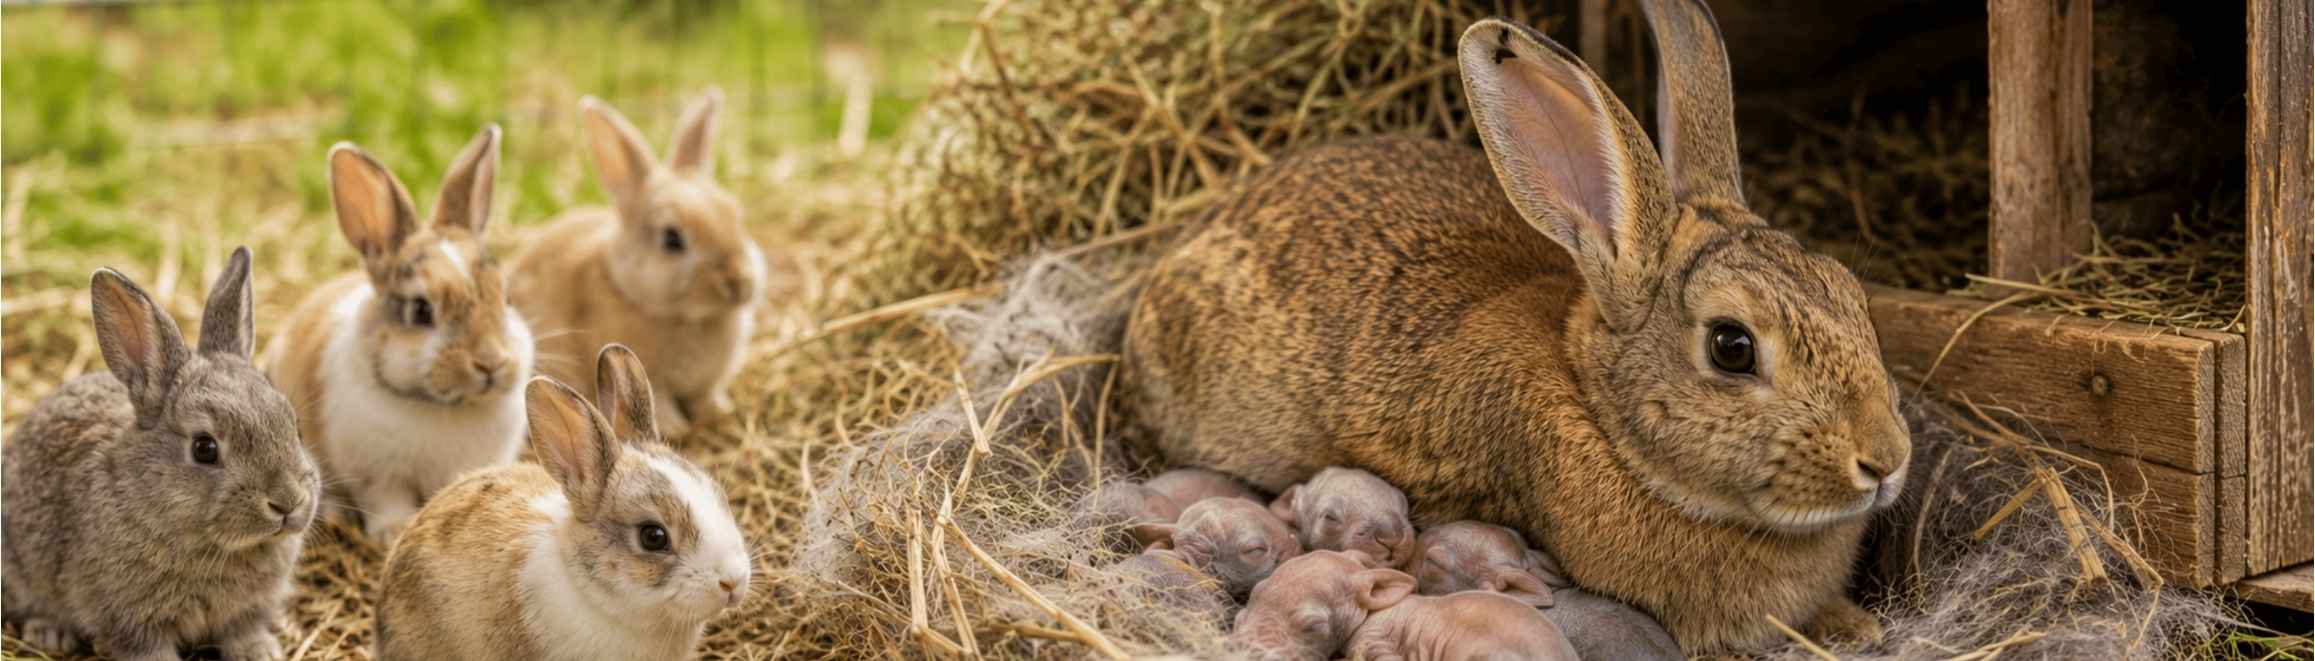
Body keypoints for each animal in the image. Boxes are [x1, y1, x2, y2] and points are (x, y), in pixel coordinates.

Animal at [3, 248, 322, 661]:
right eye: (204, 448)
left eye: (295, 427)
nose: (288, 502)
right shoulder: (130, 620)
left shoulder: (248, 610)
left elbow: (245, 631)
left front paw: (262, 652)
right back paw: (49, 634)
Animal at [264, 125, 536, 546]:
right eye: (421, 310)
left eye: (505, 298)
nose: (491, 362)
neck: (443, 408)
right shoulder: (379, 474)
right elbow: (386, 501)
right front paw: (393, 533)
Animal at [510, 88, 766, 440]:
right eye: (672, 239)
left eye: (734, 214)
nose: (739, 282)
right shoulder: (651, 378)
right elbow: (661, 401)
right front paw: (677, 428)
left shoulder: (707, 383)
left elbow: (706, 396)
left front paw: (721, 412)